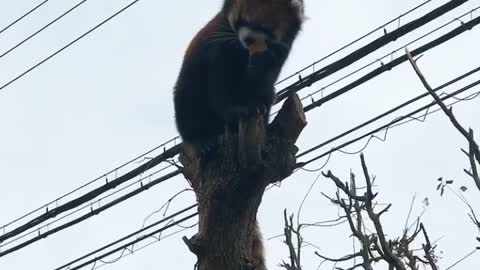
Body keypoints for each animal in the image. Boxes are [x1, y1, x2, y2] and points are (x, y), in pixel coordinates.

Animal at [174, 0, 306, 156]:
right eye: (242, 19)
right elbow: (221, 86)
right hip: (191, 82)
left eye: (264, 27)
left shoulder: (281, 47)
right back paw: (200, 139)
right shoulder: (220, 43)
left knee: (268, 95)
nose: (248, 39)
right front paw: (238, 109)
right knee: (188, 102)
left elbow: (264, 77)